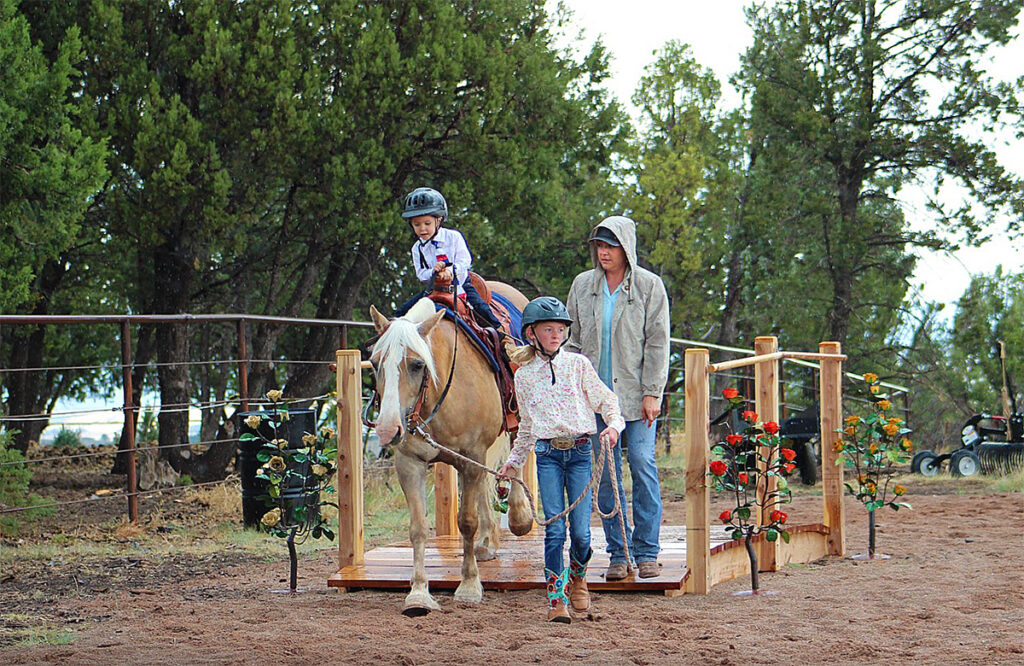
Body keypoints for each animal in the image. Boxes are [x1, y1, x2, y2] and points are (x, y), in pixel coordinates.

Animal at [369, 282, 533, 616]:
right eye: (376, 364)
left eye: (417, 364)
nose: (388, 430)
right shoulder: (410, 463)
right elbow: (418, 528)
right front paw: (418, 593)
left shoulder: (471, 458)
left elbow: (466, 522)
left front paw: (469, 585)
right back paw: (487, 542)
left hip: (517, 418)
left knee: (517, 456)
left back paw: (520, 517)